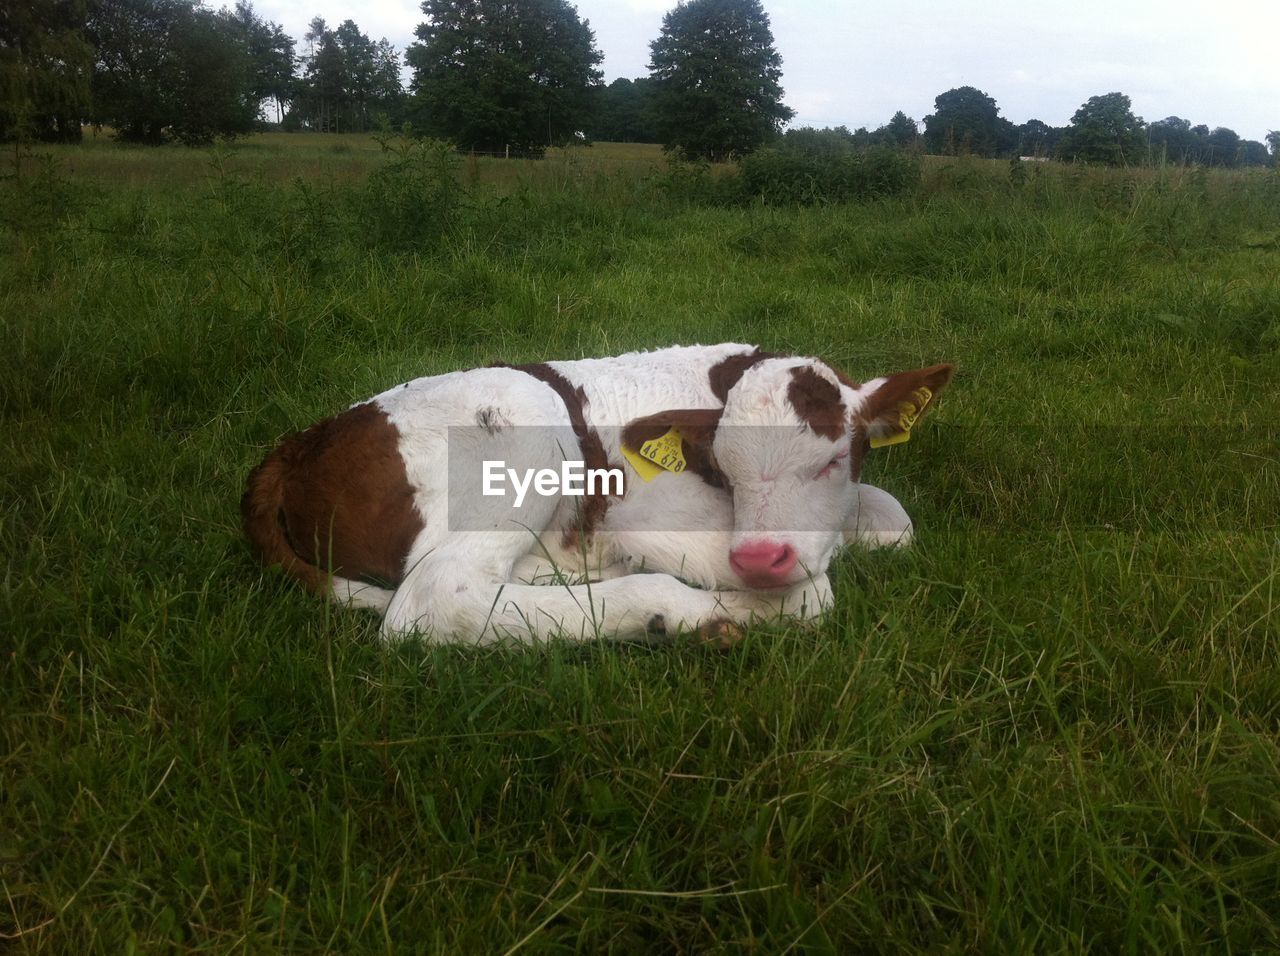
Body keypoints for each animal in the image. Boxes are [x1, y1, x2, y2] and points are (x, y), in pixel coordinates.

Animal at [244, 342, 957, 642]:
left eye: (835, 460)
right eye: (725, 469)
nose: (761, 556)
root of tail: (301, 440)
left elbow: (895, 520)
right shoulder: (646, 512)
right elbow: (814, 590)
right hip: (523, 423)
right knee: (436, 598)